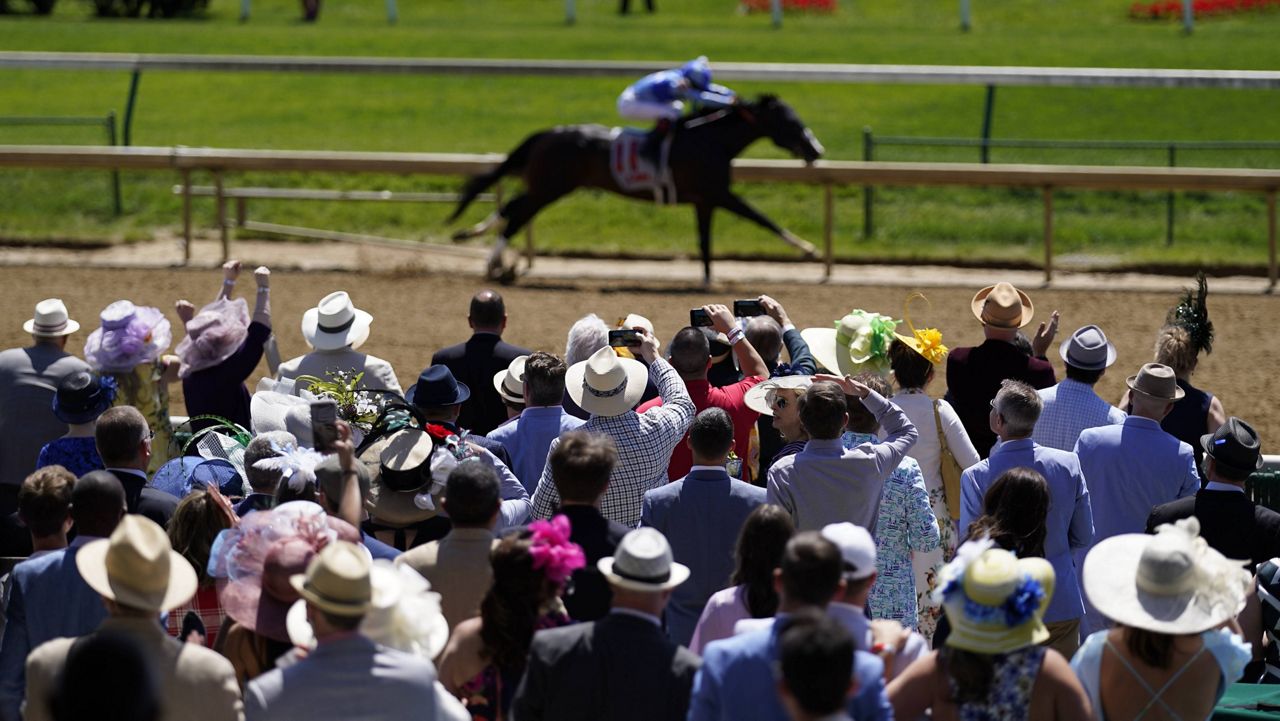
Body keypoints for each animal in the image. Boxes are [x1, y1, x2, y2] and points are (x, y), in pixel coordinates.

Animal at [445, 95, 824, 285]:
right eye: (789, 121)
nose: (816, 150)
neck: (708, 140)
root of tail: (547, 133)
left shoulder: (704, 201)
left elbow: (705, 242)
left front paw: (706, 280)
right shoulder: (719, 194)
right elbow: (763, 219)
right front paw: (809, 249)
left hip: (548, 186)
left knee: (511, 207)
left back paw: (477, 241)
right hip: (551, 187)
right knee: (518, 213)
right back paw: (493, 262)